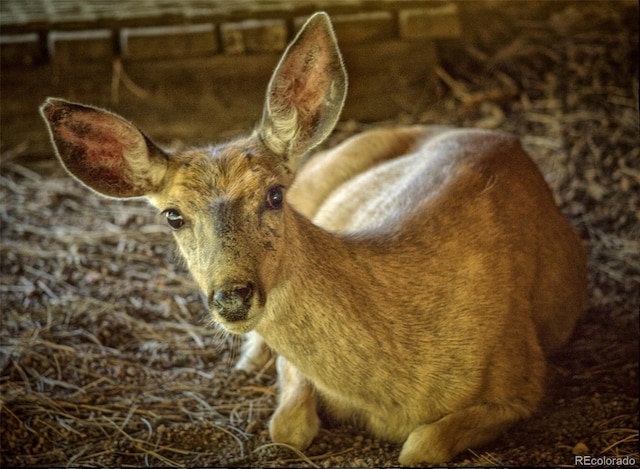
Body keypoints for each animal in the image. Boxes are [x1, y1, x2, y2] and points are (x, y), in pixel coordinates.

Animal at [40, 11, 588, 464]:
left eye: (275, 195)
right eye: (173, 216)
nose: (233, 297)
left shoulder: (523, 378)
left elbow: (420, 448)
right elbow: (286, 428)